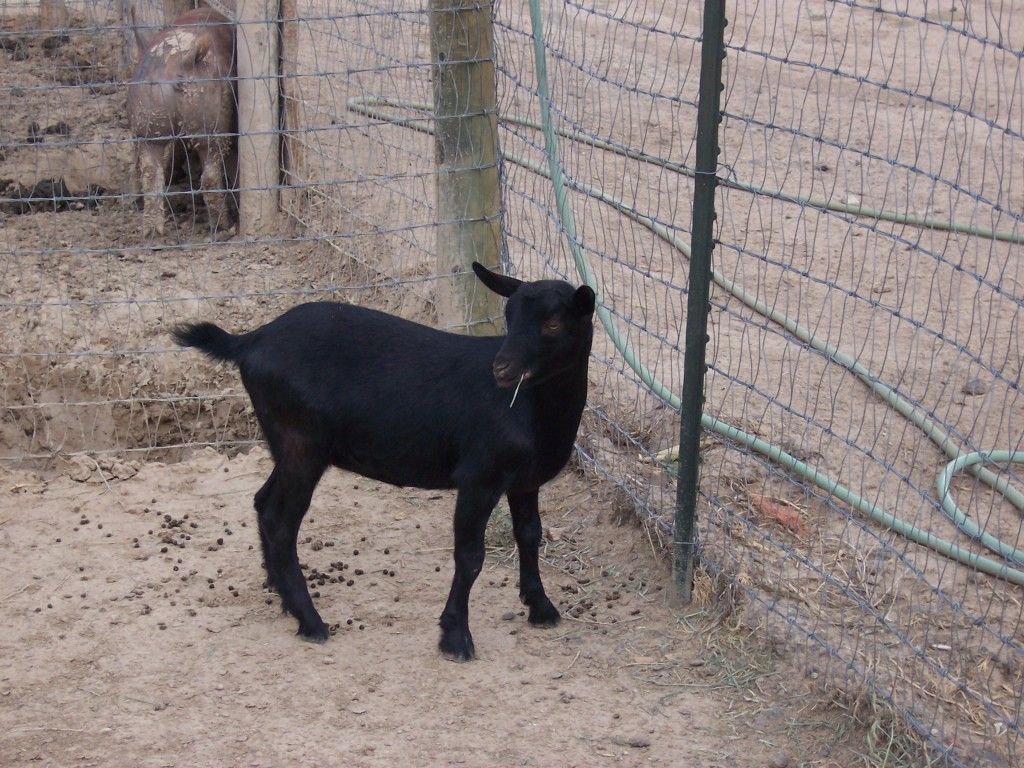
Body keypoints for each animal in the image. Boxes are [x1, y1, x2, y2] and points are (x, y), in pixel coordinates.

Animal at [173, 262, 596, 661]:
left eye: (553, 323)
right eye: (509, 317)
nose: (502, 369)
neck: (530, 409)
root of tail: (250, 340)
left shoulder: (525, 480)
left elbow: (529, 534)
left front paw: (541, 608)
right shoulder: (479, 477)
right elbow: (470, 556)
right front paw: (455, 637)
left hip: (288, 445)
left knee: (262, 502)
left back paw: (284, 597)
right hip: (301, 444)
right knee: (280, 520)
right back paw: (311, 621)